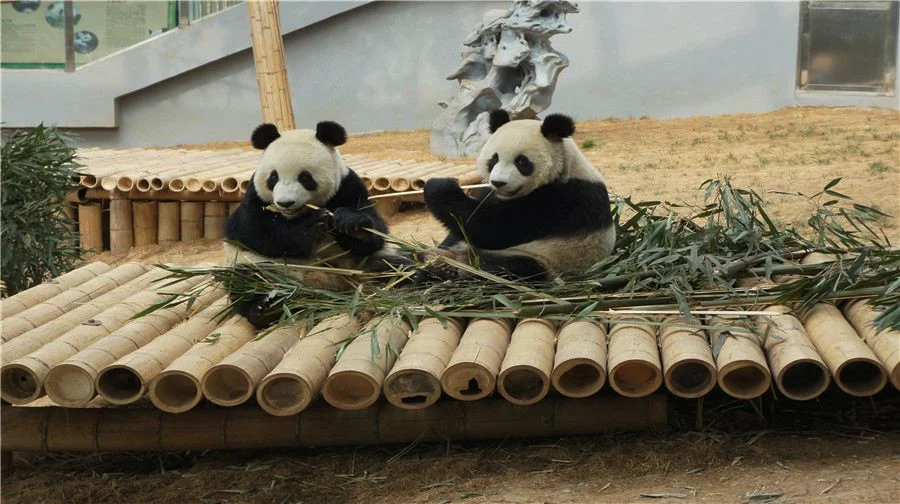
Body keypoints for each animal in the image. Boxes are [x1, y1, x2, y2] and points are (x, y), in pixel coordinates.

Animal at [225, 120, 408, 328]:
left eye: (305, 177)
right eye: (273, 177)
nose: (285, 203)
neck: (297, 214)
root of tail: (321, 283)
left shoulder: (348, 186)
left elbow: (374, 232)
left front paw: (351, 224)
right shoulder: (254, 196)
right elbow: (250, 230)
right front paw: (312, 225)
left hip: (358, 265)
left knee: (394, 266)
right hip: (265, 267)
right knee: (248, 280)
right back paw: (265, 308)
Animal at [422, 110, 612, 282]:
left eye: (521, 161)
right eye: (494, 159)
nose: (498, 182)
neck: (566, 166)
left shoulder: (562, 199)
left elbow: (492, 229)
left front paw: (439, 187)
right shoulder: (490, 193)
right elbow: (462, 227)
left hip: (550, 258)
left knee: (513, 268)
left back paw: (451, 270)